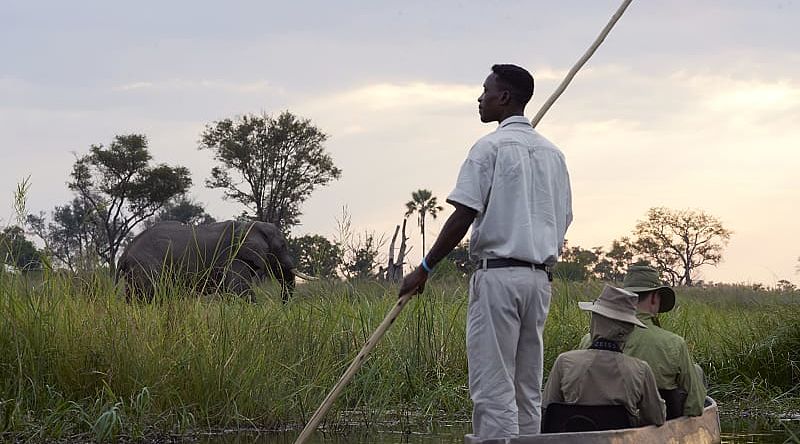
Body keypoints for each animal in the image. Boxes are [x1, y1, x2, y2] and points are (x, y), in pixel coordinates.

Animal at [117, 221, 314, 304]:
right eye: (282, 246)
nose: (283, 307)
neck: (250, 225)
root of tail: (124, 254)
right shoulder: (232, 258)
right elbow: (240, 291)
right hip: (147, 268)